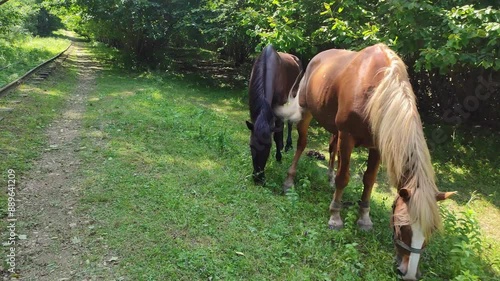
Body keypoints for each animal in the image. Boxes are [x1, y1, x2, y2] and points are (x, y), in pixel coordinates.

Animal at [245, 44, 300, 184]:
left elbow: (276, 135)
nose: (258, 178)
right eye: (251, 145)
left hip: (293, 95)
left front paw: (278, 156)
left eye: (269, 147)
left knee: (289, 121)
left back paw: (288, 145)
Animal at [276, 43, 456, 278]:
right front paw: (335, 216)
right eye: (402, 226)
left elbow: (369, 180)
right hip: (307, 112)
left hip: (334, 128)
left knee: (332, 149)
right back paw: (290, 180)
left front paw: (364, 218)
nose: (408, 273)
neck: (378, 90)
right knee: (302, 145)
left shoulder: (377, 145)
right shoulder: (347, 136)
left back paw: (329, 178)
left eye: (431, 231)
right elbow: (344, 177)